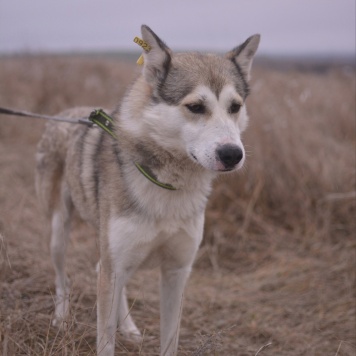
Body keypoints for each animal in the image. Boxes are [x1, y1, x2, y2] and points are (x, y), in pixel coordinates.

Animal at [35, 25, 258, 356]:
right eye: (196, 107)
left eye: (235, 107)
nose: (232, 154)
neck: (167, 184)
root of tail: (64, 113)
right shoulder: (114, 268)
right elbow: (105, 342)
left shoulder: (177, 272)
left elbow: (169, 341)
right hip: (59, 233)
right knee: (64, 279)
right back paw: (61, 318)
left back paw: (127, 327)